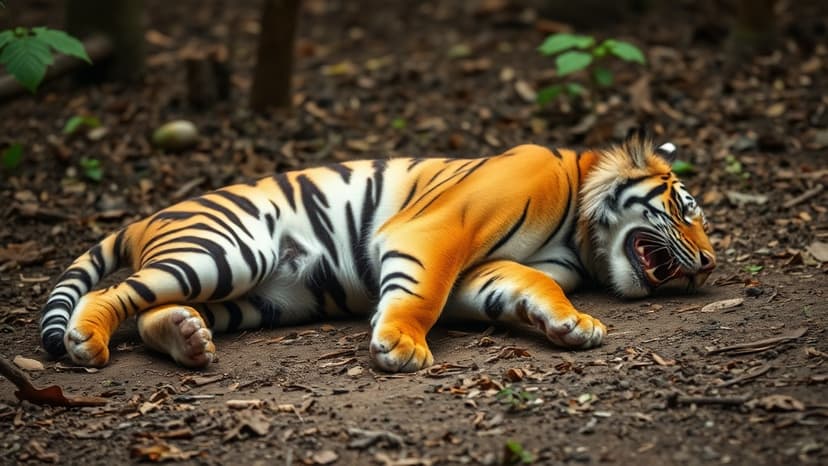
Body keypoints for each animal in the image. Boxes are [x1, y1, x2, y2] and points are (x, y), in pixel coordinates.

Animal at [39, 132, 716, 373]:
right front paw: (401, 347)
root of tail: (149, 216)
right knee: (114, 292)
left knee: (156, 311)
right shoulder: (437, 231)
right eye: (688, 209)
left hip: (265, 297)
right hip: (229, 251)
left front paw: (572, 324)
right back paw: (87, 343)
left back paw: (187, 339)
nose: (710, 265)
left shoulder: (486, 270)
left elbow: (530, 286)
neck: (579, 233)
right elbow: (422, 293)